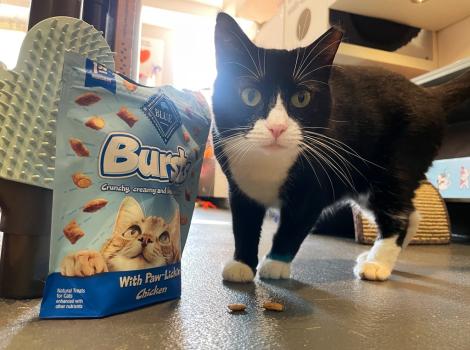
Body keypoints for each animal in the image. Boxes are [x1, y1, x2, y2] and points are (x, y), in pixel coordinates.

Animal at [212, 12, 470, 284]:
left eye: (301, 98)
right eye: (249, 95)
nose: (277, 128)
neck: (268, 163)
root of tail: (428, 94)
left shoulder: (314, 188)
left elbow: (294, 225)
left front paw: (275, 264)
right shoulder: (239, 187)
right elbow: (244, 224)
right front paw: (242, 264)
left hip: (399, 161)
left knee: (398, 212)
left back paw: (377, 263)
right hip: (363, 181)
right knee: (411, 214)